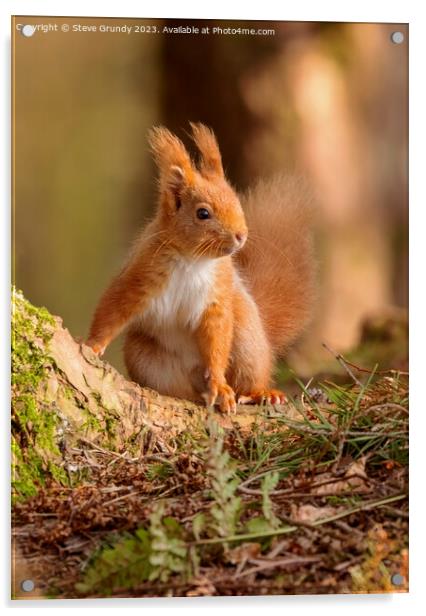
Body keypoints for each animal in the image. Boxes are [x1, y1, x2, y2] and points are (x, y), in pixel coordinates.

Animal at [86, 122, 314, 414]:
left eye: (237, 202)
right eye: (203, 213)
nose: (241, 235)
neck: (192, 260)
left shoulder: (217, 297)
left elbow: (216, 342)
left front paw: (219, 384)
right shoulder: (139, 276)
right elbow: (112, 310)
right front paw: (92, 345)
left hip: (246, 341)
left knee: (248, 376)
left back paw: (260, 392)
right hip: (146, 358)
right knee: (177, 388)